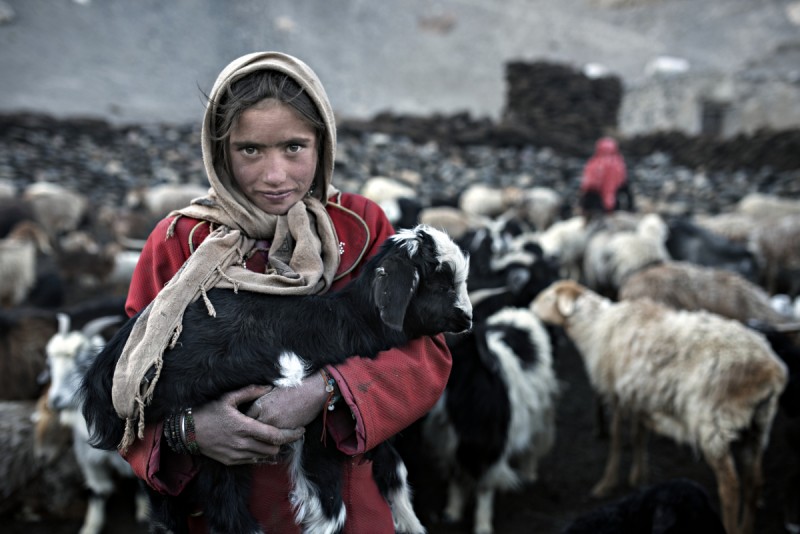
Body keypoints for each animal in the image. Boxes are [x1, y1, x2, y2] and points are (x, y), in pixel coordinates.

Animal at [532, 280, 788, 534]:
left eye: (548, 298)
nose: (531, 309)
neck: (595, 328)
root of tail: (771, 371)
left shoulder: (616, 393)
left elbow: (616, 439)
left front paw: (606, 483)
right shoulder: (638, 395)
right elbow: (638, 435)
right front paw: (638, 476)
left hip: (714, 424)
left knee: (731, 488)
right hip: (758, 427)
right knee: (755, 482)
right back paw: (747, 526)